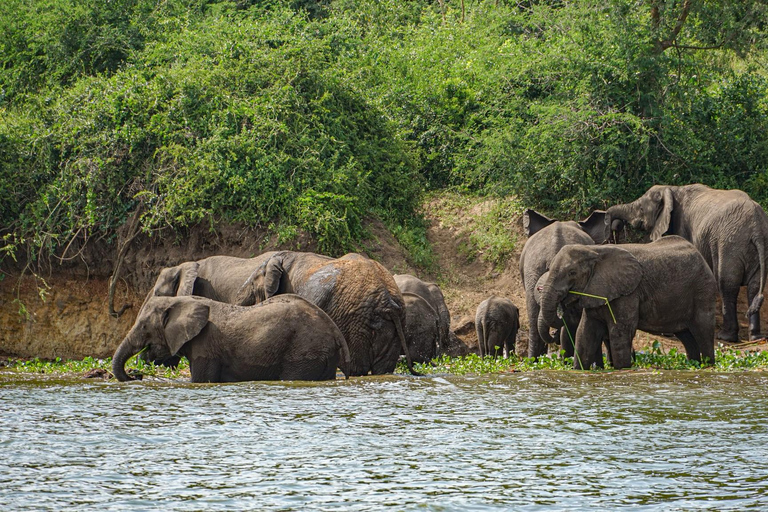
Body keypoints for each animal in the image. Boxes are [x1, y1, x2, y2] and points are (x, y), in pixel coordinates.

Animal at [111, 294, 352, 382]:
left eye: (144, 326)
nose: (136, 376)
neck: (181, 300)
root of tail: (334, 330)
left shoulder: (206, 345)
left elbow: (200, 380)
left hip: (304, 351)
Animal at [237, 252, 424, 376]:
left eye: (253, 286)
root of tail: (387, 301)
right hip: (393, 324)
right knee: (383, 369)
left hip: (355, 322)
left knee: (357, 367)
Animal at [536, 236, 716, 368]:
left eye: (572, 272)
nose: (554, 333)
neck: (594, 251)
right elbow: (585, 332)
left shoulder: (628, 292)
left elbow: (620, 332)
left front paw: (622, 370)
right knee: (686, 336)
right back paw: (694, 366)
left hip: (703, 289)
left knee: (703, 332)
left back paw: (709, 366)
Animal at [608, 182, 768, 342]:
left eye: (641, 209)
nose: (616, 225)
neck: (671, 188)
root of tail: (757, 229)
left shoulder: (682, 225)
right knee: (754, 287)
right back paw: (756, 337)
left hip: (730, 244)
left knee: (727, 285)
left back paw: (726, 337)